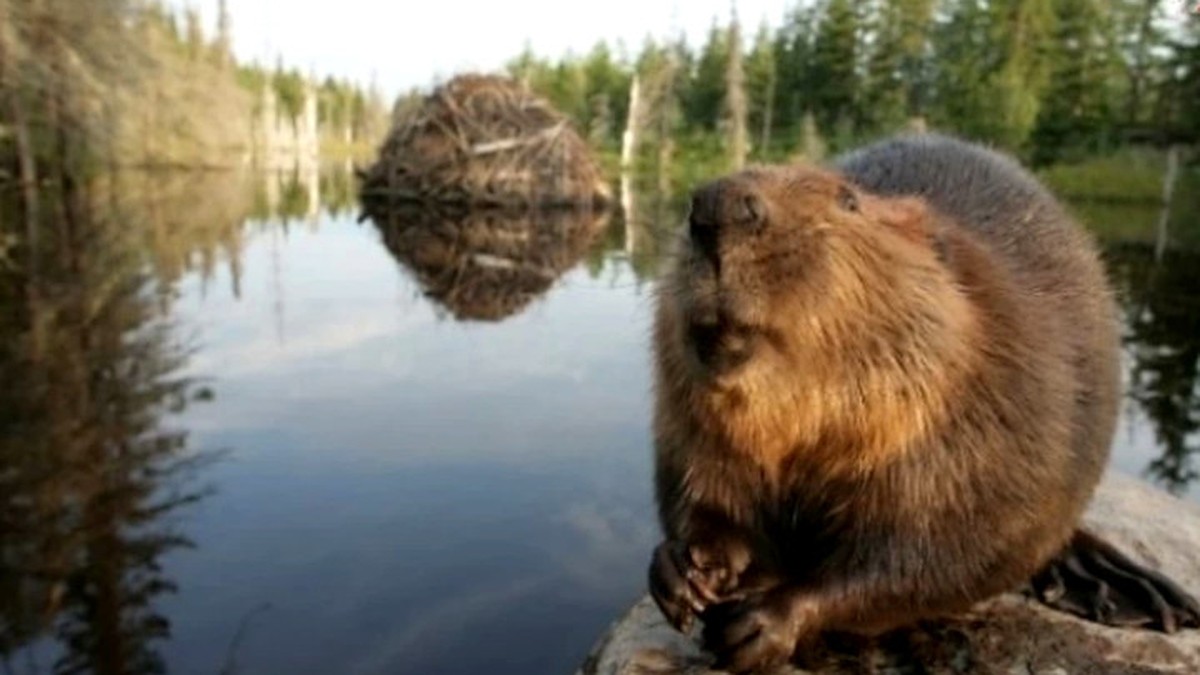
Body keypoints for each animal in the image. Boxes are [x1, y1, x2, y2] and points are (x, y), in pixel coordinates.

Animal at [648, 133, 1200, 667]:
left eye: (848, 201)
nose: (716, 207)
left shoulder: (993, 417)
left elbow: (939, 555)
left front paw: (766, 623)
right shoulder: (690, 423)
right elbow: (702, 494)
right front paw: (684, 569)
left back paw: (1132, 591)